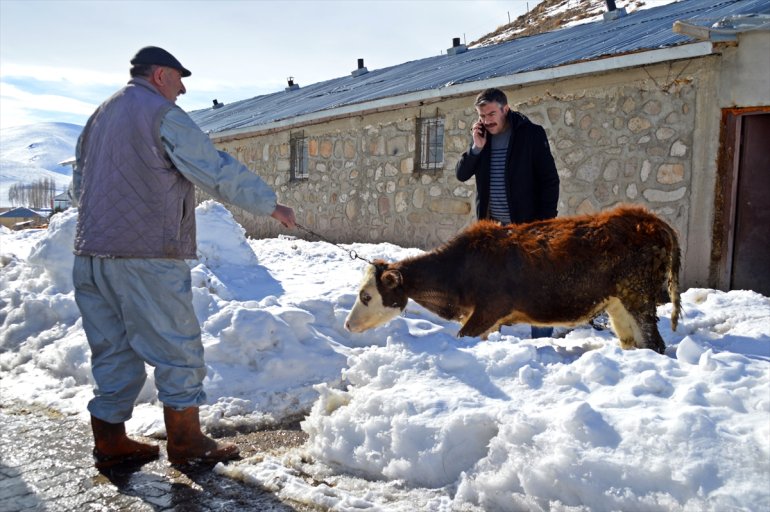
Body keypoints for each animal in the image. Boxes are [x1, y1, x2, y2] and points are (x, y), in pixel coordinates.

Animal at [342, 204, 680, 352]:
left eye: (366, 296)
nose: (347, 325)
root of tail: (648, 219)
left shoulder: (490, 309)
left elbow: (463, 336)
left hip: (639, 297)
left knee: (655, 343)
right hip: (619, 304)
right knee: (634, 341)